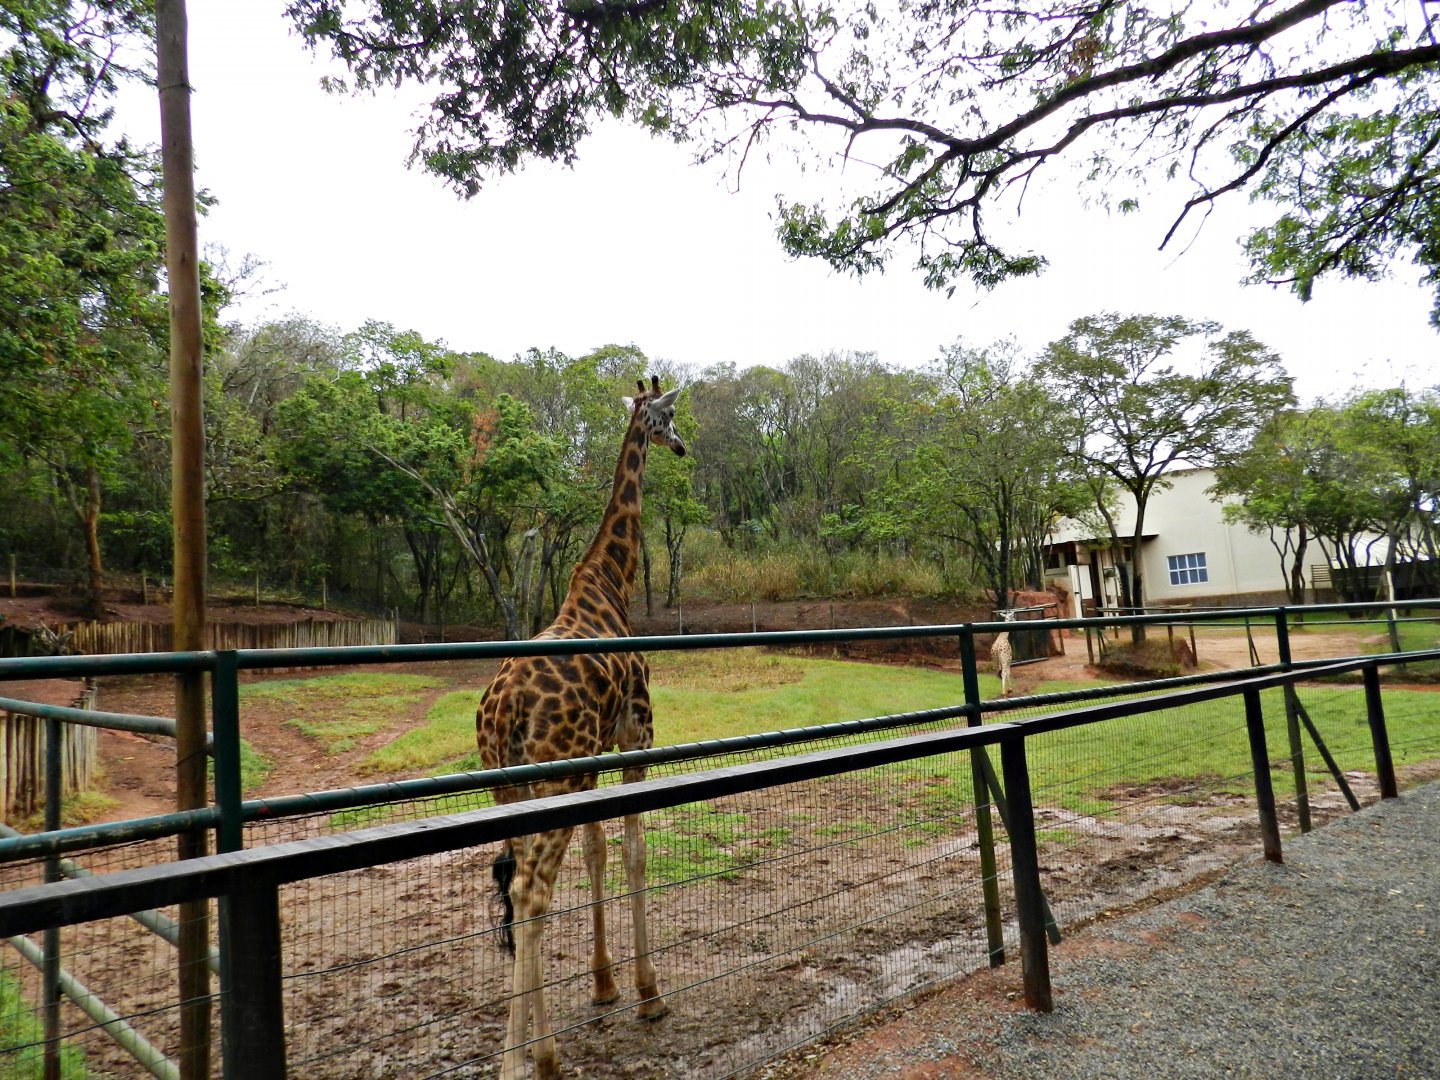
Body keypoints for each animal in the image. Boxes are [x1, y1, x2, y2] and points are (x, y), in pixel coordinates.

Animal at [477, 376, 685, 1080]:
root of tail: (504, 707)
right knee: (533, 894)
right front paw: (648, 993)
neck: (609, 582)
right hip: (552, 778)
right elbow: (633, 851)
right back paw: (537, 1059)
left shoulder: (593, 759)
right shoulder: (634, 735)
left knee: (517, 890)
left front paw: (604, 984)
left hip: (509, 784)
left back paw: (524, 1052)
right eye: (667, 418)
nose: (682, 446)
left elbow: (597, 851)